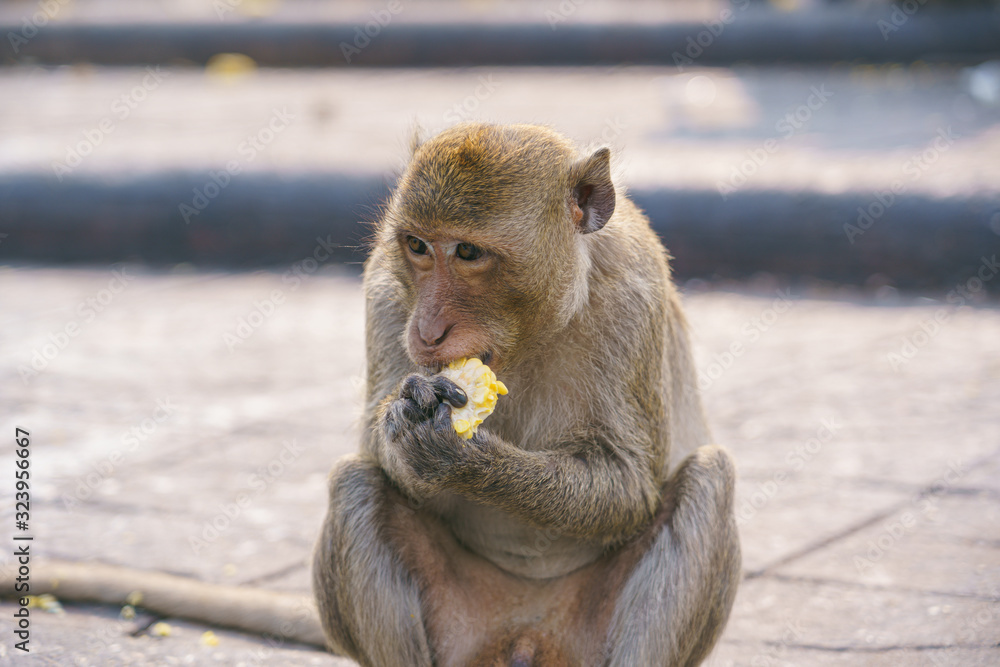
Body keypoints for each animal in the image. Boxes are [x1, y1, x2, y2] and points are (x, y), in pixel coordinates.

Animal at [312, 122, 741, 666]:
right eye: (417, 245)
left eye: (468, 253)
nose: (427, 331)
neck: (532, 334)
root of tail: (527, 635)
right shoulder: (385, 288)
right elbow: (374, 447)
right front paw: (402, 421)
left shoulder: (634, 292)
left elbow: (629, 482)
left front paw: (464, 459)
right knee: (356, 481)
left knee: (710, 476)